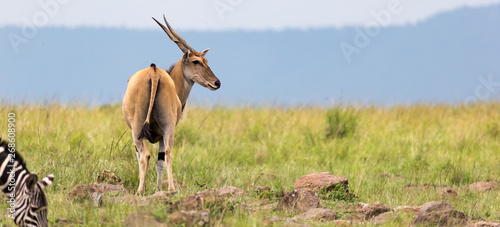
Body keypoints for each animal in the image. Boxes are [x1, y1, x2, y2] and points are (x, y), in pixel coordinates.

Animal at [122, 15, 220, 195]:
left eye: (205, 60)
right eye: (196, 61)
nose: (217, 83)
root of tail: (154, 72)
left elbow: (149, 159)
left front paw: (155, 188)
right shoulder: (162, 134)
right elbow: (161, 159)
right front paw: (159, 189)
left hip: (139, 129)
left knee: (146, 156)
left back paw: (141, 191)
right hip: (166, 128)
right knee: (167, 153)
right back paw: (171, 189)